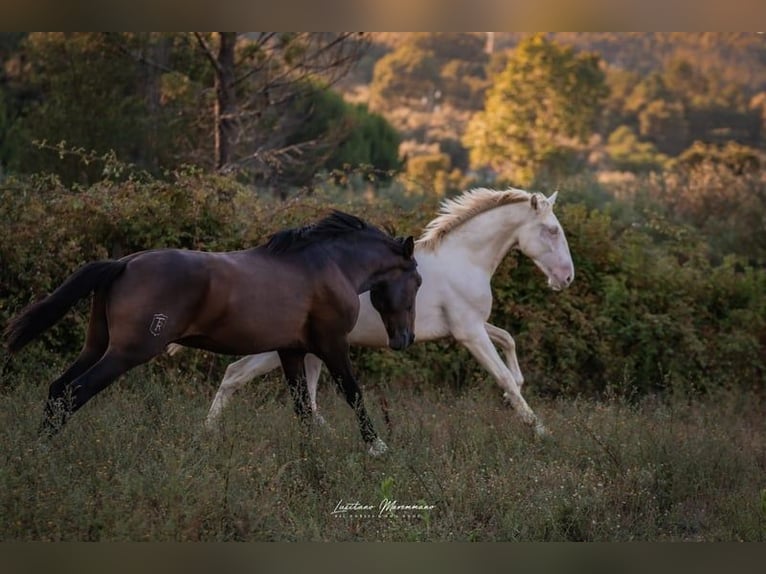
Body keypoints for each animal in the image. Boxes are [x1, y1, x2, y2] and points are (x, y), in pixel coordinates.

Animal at [6, 210, 424, 454]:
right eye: (417, 281)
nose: (405, 340)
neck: (329, 265)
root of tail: (124, 263)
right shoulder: (332, 345)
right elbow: (353, 394)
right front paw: (377, 447)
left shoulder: (290, 350)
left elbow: (303, 408)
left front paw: (311, 455)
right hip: (126, 352)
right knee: (76, 391)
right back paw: (43, 451)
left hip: (97, 346)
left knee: (58, 389)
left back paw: (36, 448)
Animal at [201, 189, 572, 436]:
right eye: (552, 230)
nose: (566, 278)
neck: (464, 259)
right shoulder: (469, 332)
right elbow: (503, 376)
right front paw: (539, 428)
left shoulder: (474, 325)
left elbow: (508, 340)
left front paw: (520, 394)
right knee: (236, 374)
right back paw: (207, 433)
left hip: (306, 351)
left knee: (279, 388)